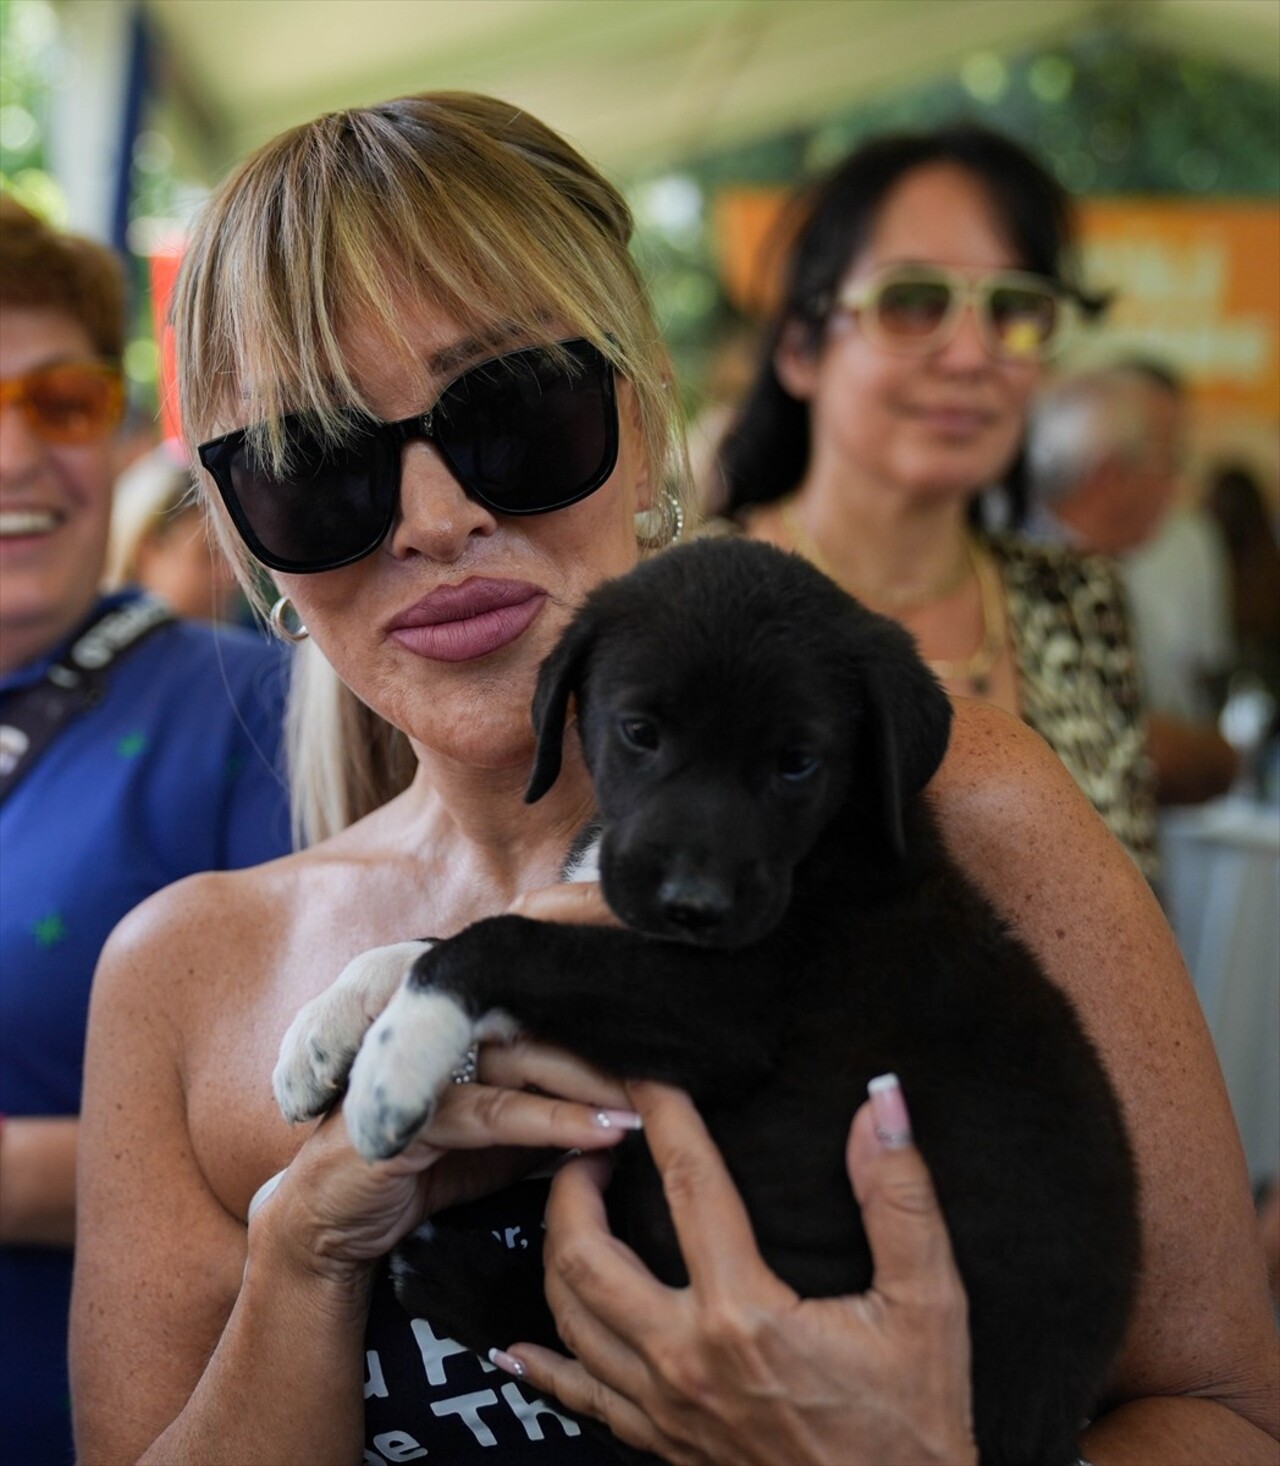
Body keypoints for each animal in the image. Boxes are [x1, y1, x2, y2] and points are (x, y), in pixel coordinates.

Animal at [274, 539, 1131, 1466]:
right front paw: (322, 1034)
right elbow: (439, 937)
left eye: (797, 762)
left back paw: (454, 1275)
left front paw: (396, 1064)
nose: (694, 905)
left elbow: (493, 939)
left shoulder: (720, 1009)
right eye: (640, 732)